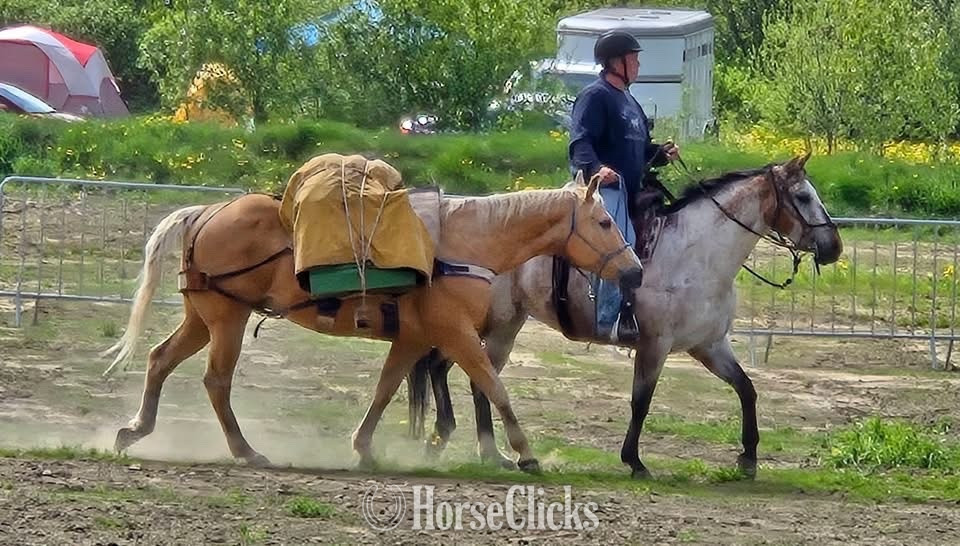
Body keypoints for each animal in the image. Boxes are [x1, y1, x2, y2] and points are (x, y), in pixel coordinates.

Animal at [101, 169, 644, 473]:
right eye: (604, 221)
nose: (635, 271)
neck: (464, 241)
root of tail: (206, 212)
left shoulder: (415, 339)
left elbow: (385, 391)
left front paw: (364, 448)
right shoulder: (457, 335)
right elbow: (494, 388)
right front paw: (524, 454)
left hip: (204, 317)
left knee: (160, 359)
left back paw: (135, 430)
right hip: (227, 320)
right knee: (216, 382)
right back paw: (245, 451)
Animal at [408, 153, 844, 478]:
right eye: (803, 196)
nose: (834, 246)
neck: (697, 255)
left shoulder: (709, 345)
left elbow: (747, 389)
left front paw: (749, 458)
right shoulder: (655, 344)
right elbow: (641, 401)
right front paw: (634, 461)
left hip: (502, 327)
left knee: (467, 374)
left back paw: (483, 450)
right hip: (491, 326)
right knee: (455, 370)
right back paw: (458, 440)